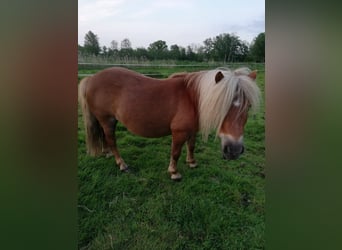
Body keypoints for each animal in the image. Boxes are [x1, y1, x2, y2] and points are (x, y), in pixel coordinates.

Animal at [78, 66, 260, 180]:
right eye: (221, 105)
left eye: (249, 106)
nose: (234, 150)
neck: (193, 98)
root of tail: (92, 78)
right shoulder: (179, 132)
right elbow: (175, 152)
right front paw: (174, 172)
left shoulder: (192, 130)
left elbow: (191, 146)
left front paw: (192, 162)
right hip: (107, 120)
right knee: (111, 140)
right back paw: (121, 164)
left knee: (104, 137)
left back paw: (107, 153)